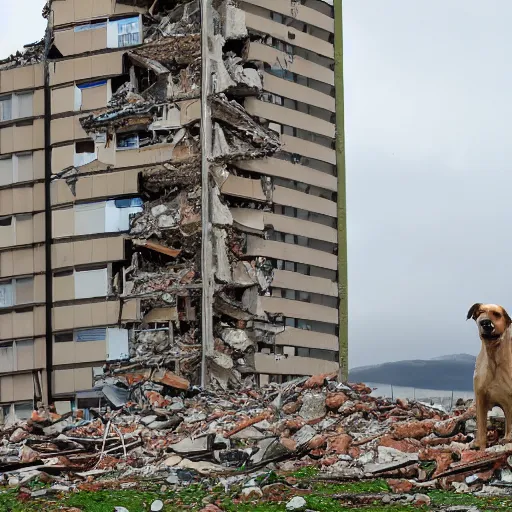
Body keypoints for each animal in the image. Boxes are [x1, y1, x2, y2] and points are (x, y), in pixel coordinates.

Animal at [468, 304, 512, 448]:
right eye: (480, 312)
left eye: (497, 314)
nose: (485, 322)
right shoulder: (480, 396)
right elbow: (481, 425)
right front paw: (479, 444)